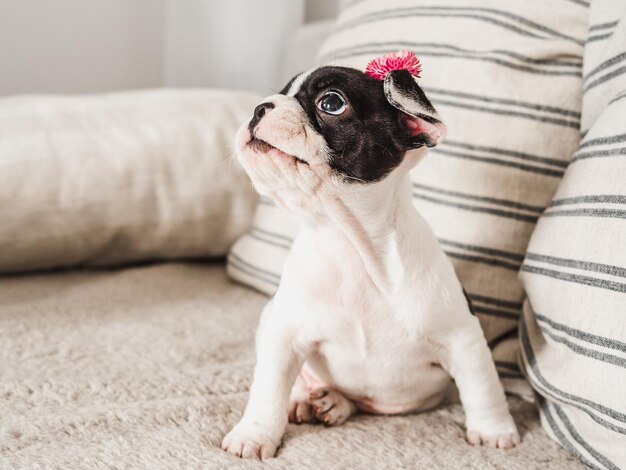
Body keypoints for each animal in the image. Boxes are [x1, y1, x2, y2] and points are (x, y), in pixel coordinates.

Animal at [219, 56, 516, 458]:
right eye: (279, 94)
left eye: (331, 103)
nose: (259, 108)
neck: (350, 245)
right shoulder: (283, 334)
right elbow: (268, 389)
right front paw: (254, 435)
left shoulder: (463, 338)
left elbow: (483, 386)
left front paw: (494, 430)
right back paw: (308, 400)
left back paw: (334, 403)